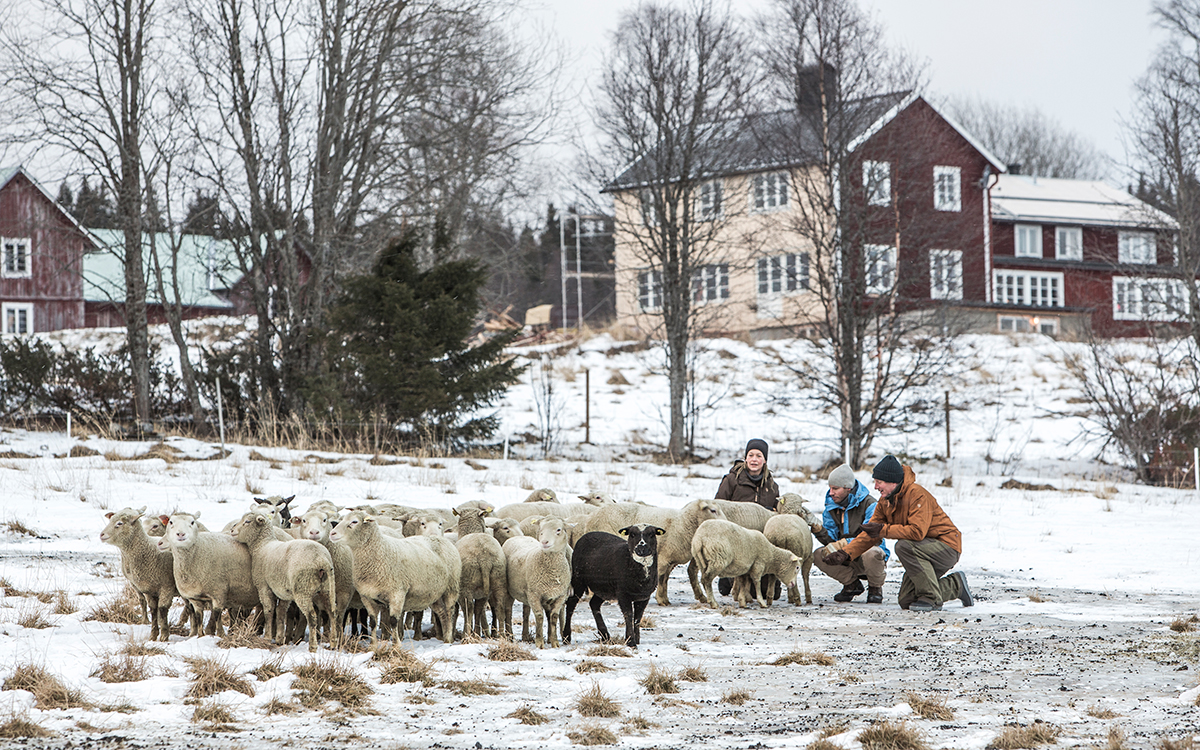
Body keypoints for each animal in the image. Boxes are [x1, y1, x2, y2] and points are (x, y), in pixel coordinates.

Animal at [100, 506, 177, 638]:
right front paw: (153, 635)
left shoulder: (167, 586)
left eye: (119, 523)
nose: (102, 534)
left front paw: (164, 635)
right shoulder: (148, 589)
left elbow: (162, 609)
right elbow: (153, 609)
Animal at [229, 508, 336, 648]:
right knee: (332, 613)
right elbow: (280, 612)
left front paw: (268, 637)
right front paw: (280, 638)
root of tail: (322, 560)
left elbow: (268, 611)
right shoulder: (284, 592)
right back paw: (333, 643)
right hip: (327, 588)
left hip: (303, 589)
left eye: (247, 521)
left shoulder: (264, 586)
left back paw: (313, 646)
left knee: (311, 616)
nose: (232, 530)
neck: (262, 545)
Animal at [328, 511, 458, 648]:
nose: (332, 534)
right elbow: (373, 622)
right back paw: (445, 638)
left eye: (354, 522)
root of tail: (440, 538)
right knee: (442, 613)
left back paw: (449, 637)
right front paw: (373, 645)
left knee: (450, 611)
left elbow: (393, 621)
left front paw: (396, 644)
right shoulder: (367, 597)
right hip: (434, 593)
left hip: (451, 587)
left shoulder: (397, 593)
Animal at [499, 518, 568, 648]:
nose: (544, 542)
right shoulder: (534, 595)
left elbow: (554, 617)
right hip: (511, 590)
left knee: (526, 613)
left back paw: (525, 636)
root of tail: (517, 537)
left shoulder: (559, 596)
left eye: (558, 530)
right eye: (540, 530)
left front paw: (554, 642)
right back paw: (510, 635)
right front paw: (539, 642)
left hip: (527, 593)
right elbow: (539, 616)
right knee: (508, 611)